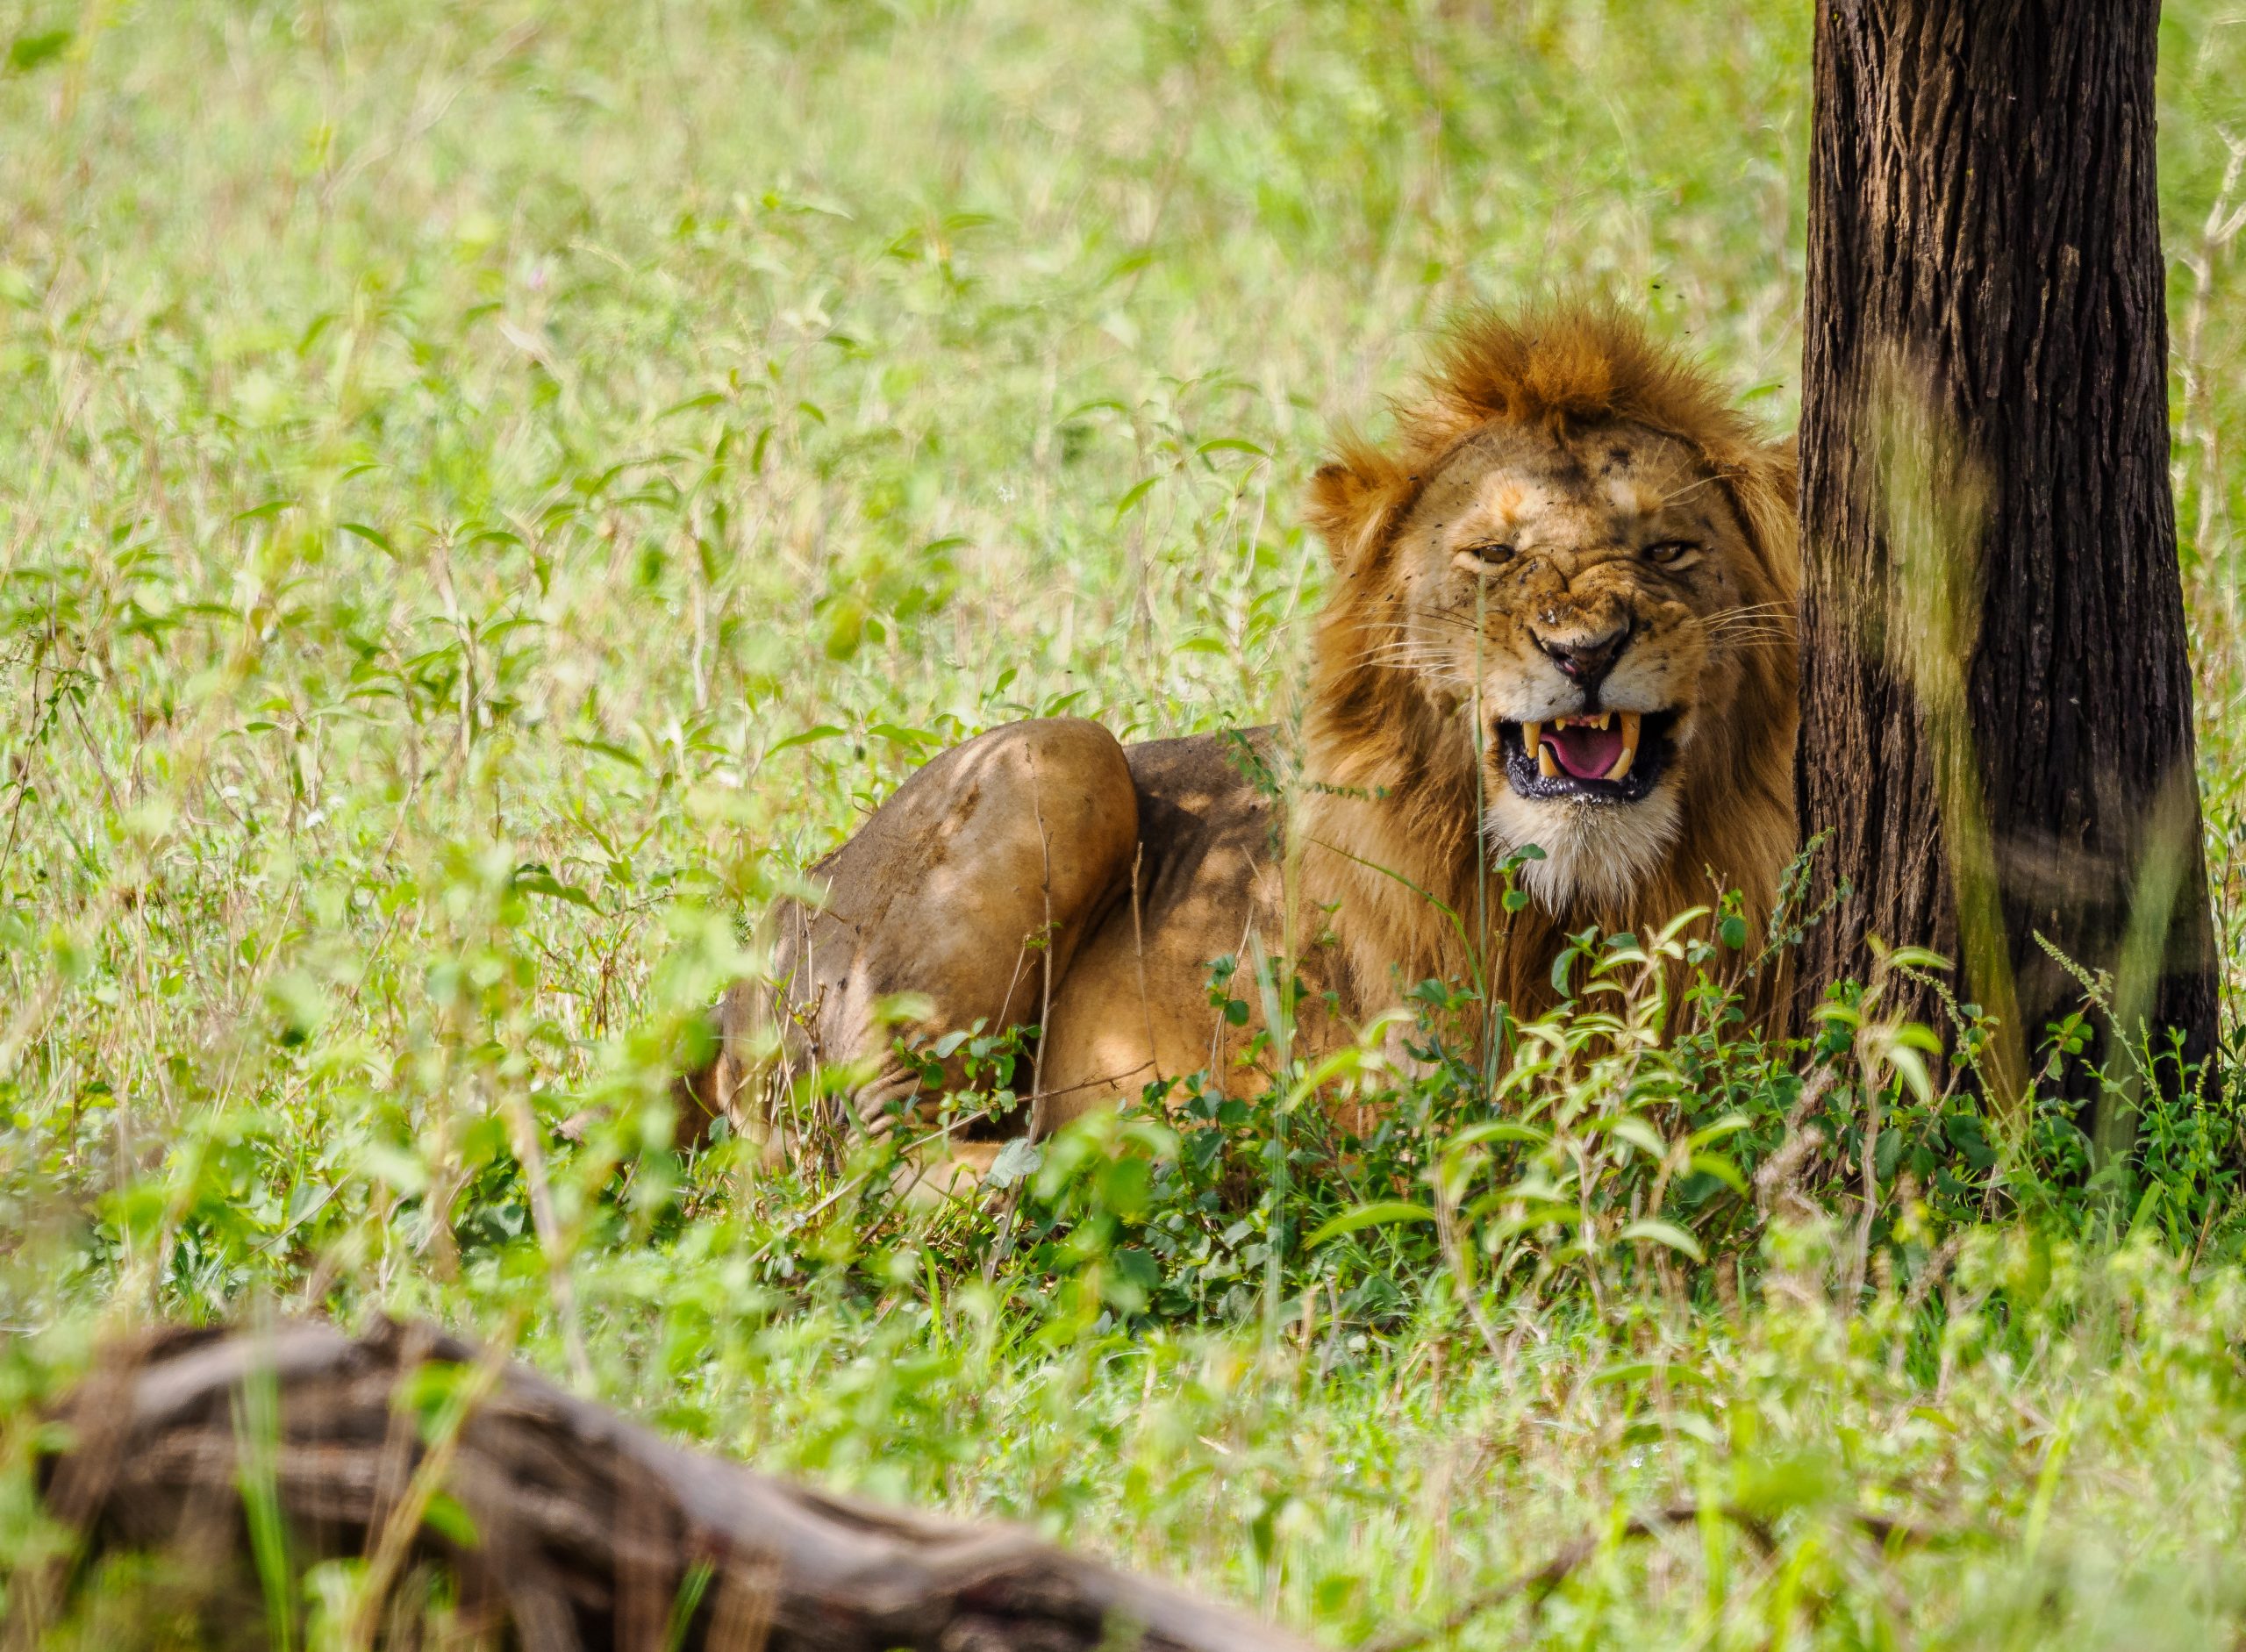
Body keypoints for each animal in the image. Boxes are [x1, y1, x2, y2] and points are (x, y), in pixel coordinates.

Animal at [687, 302, 1799, 1183]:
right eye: (1493, 552)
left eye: (1670, 549)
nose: (1586, 649)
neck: (1583, 898)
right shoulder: (1419, 1090)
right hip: (1056, 755)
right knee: (848, 1160)